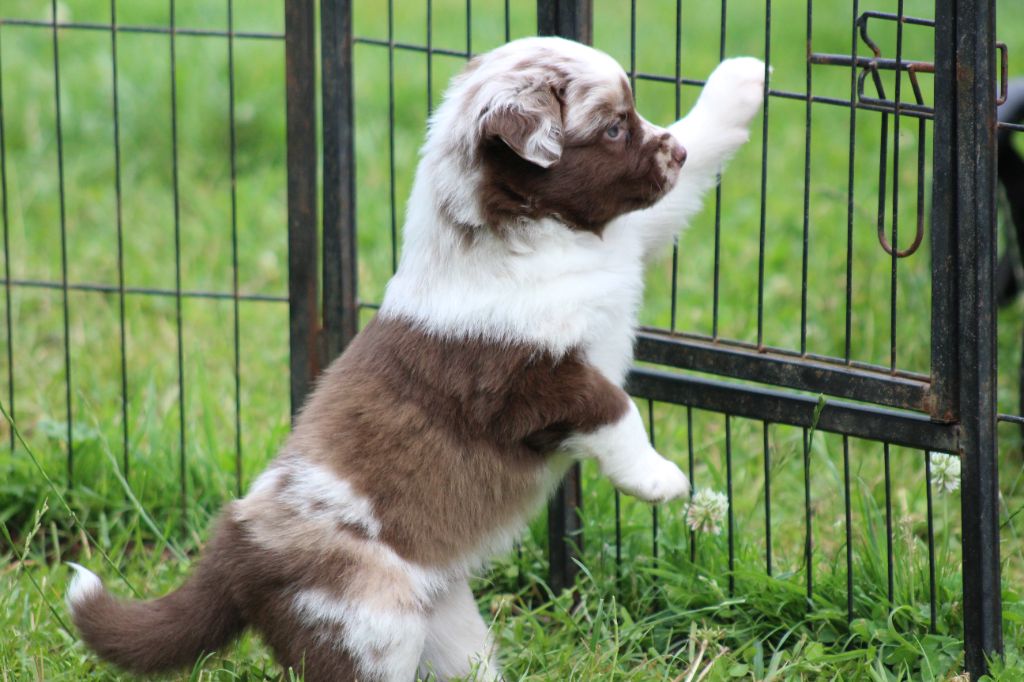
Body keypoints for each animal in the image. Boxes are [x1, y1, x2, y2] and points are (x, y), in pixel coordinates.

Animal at [67, 37, 765, 681]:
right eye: (615, 127)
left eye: (635, 115)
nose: (669, 151)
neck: (531, 234)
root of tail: (236, 544)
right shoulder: (522, 385)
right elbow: (613, 406)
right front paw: (659, 479)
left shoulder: (627, 241)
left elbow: (691, 167)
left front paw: (741, 78)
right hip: (371, 621)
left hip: (446, 622)